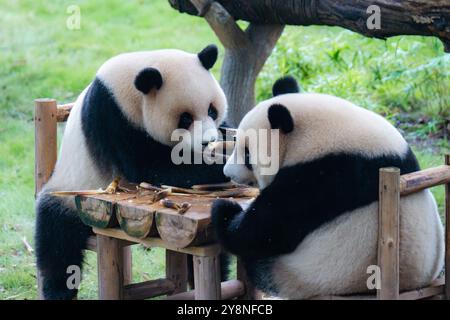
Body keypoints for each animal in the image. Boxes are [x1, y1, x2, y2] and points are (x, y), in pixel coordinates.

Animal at [36, 45, 232, 300]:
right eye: (185, 118)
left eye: (212, 110)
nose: (207, 141)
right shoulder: (114, 118)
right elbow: (152, 169)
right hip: (69, 191)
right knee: (56, 240)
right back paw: (58, 291)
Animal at [211, 76, 442, 298]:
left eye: (247, 154)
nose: (228, 173)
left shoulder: (326, 175)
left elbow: (268, 229)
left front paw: (225, 212)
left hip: (311, 274)